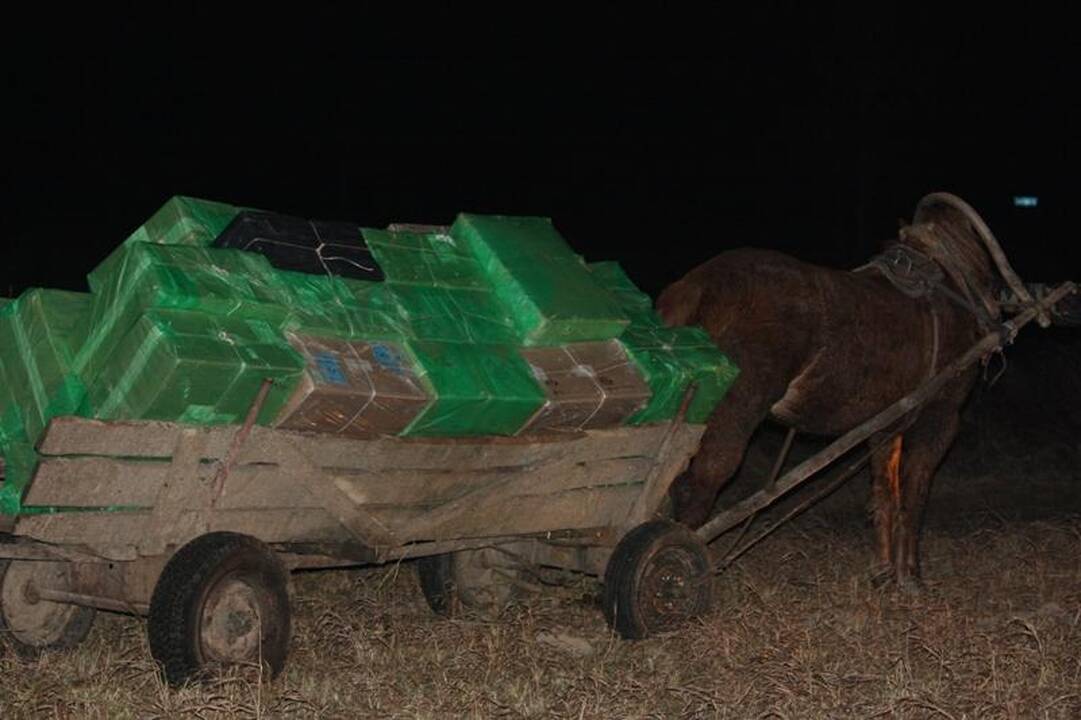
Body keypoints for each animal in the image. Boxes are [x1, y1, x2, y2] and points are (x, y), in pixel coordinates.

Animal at [657, 190, 1011, 588]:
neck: (954, 284)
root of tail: (696, 290)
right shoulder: (939, 417)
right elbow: (913, 497)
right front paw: (910, 577)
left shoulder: (886, 425)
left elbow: (884, 493)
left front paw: (884, 573)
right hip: (734, 412)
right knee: (697, 482)